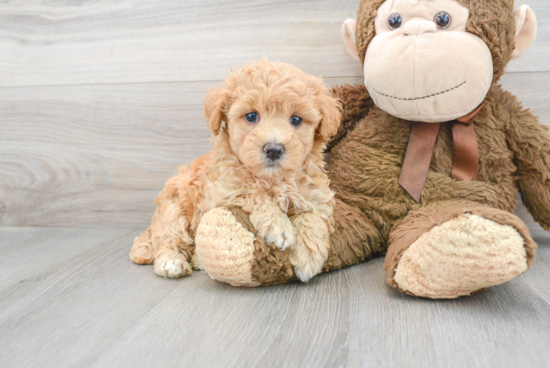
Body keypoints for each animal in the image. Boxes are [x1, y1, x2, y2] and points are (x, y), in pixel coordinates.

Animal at [132, 59, 342, 280]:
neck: (273, 179)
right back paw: (171, 262)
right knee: (168, 239)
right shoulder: (220, 193)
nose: (273, 149)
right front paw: (278, 225)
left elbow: (313, 216)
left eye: (296, 120)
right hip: (173, 209)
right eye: (251, 116)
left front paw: (309, 256)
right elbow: (252, 193)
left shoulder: (317, 196)